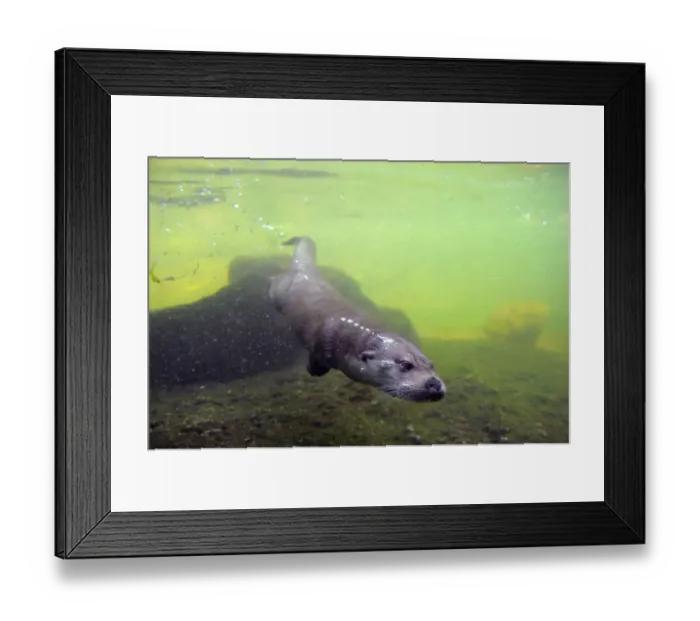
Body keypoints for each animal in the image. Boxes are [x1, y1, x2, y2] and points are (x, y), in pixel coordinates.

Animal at [269, 236, 446, 402]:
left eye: (432, 365)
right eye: (406, 365)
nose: (435, 384)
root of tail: (305, 270)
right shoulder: (320, 343)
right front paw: (313, 370)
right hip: (279, 291)